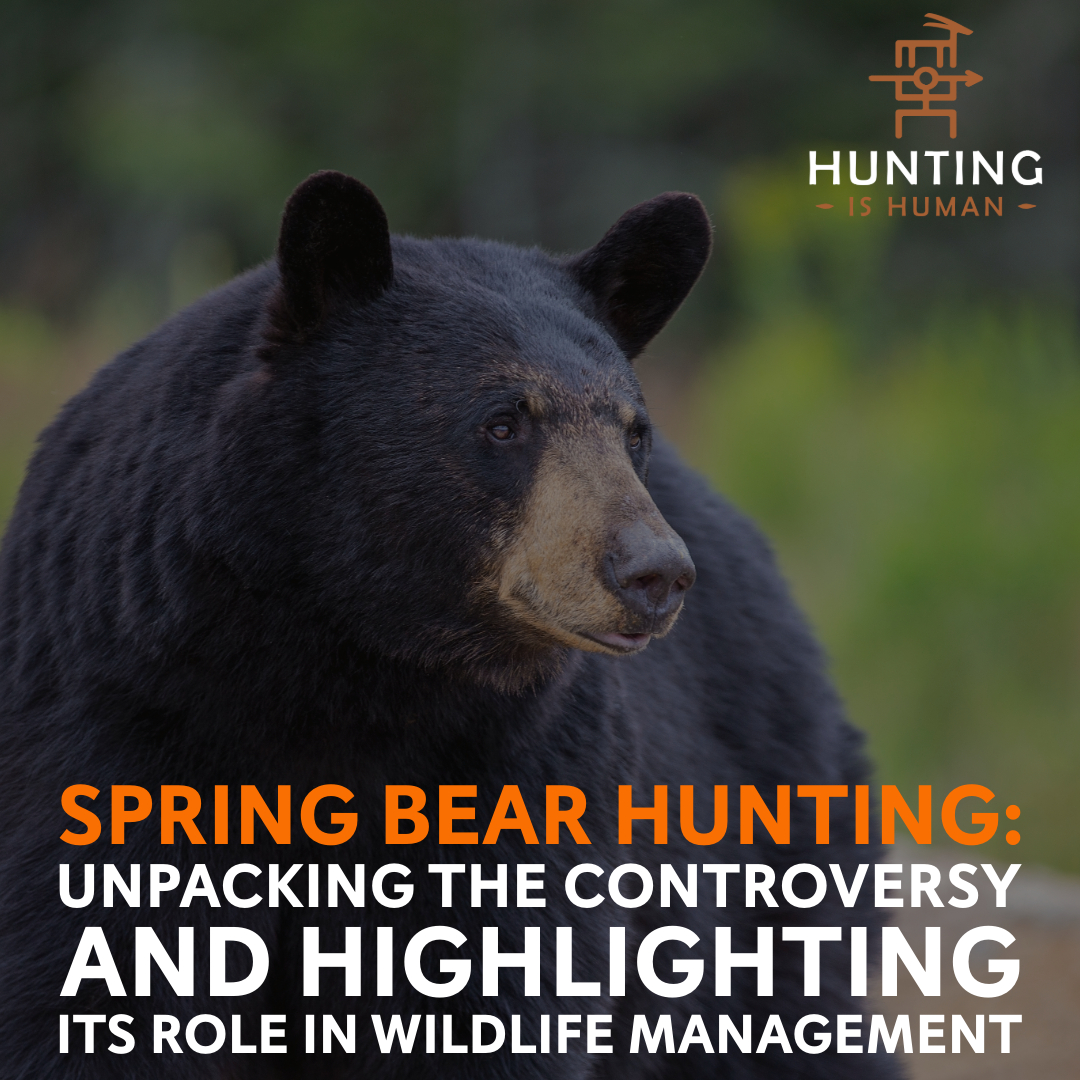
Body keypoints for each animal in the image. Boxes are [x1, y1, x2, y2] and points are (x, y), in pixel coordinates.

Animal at [0, 170, 898, 1078]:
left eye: (633, 430)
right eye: (503, 421)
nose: (654, 574)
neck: (350, 659)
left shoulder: (520, 774)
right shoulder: (119, 718)